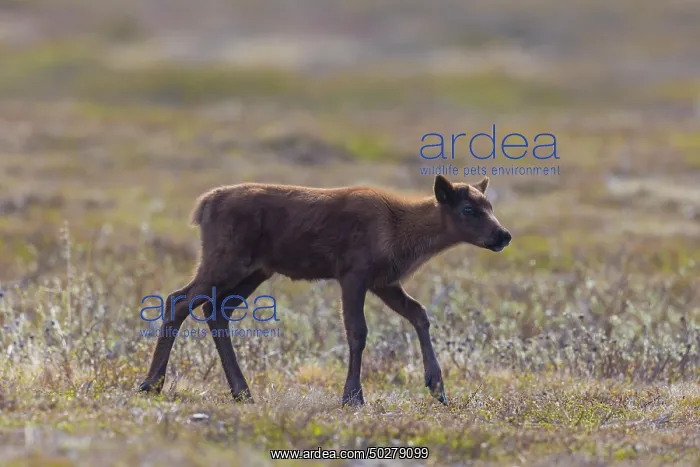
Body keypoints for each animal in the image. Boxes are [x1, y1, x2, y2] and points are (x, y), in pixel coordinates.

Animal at [138, 175, 512, 407]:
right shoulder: (353, 274)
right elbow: (357, 332)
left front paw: (437, 386)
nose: (503, 235)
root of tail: (203, 205)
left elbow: (419, 313)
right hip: (224, 260)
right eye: (468, 209)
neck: (401, 231)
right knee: (179, 300)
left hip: (255, 271)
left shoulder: (384, 281)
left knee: (215, 311)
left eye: (491, 207)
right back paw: (151, 384)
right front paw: (352, 396)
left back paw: (241, 391)